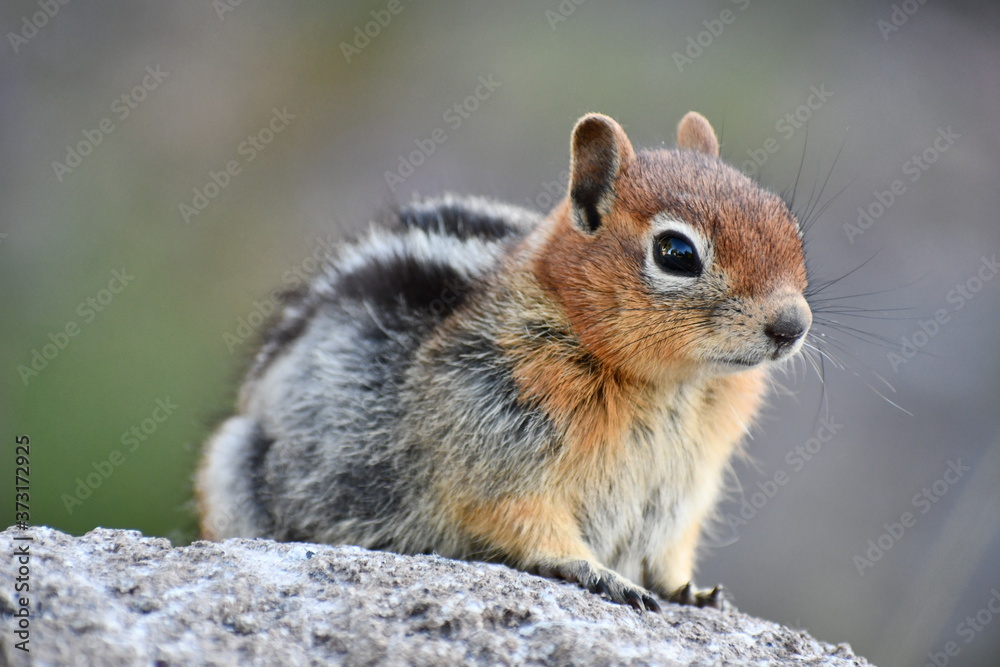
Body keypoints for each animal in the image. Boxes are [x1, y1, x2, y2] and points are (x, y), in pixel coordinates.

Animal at [196, 111, 811, 613]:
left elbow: (669, 551)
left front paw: (688, 588)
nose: (792, 326)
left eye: (788, 224)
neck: (669, 385)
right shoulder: (492, 453)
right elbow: (524, 522)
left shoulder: (686, 490)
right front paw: (597, 572)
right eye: (676, 253)